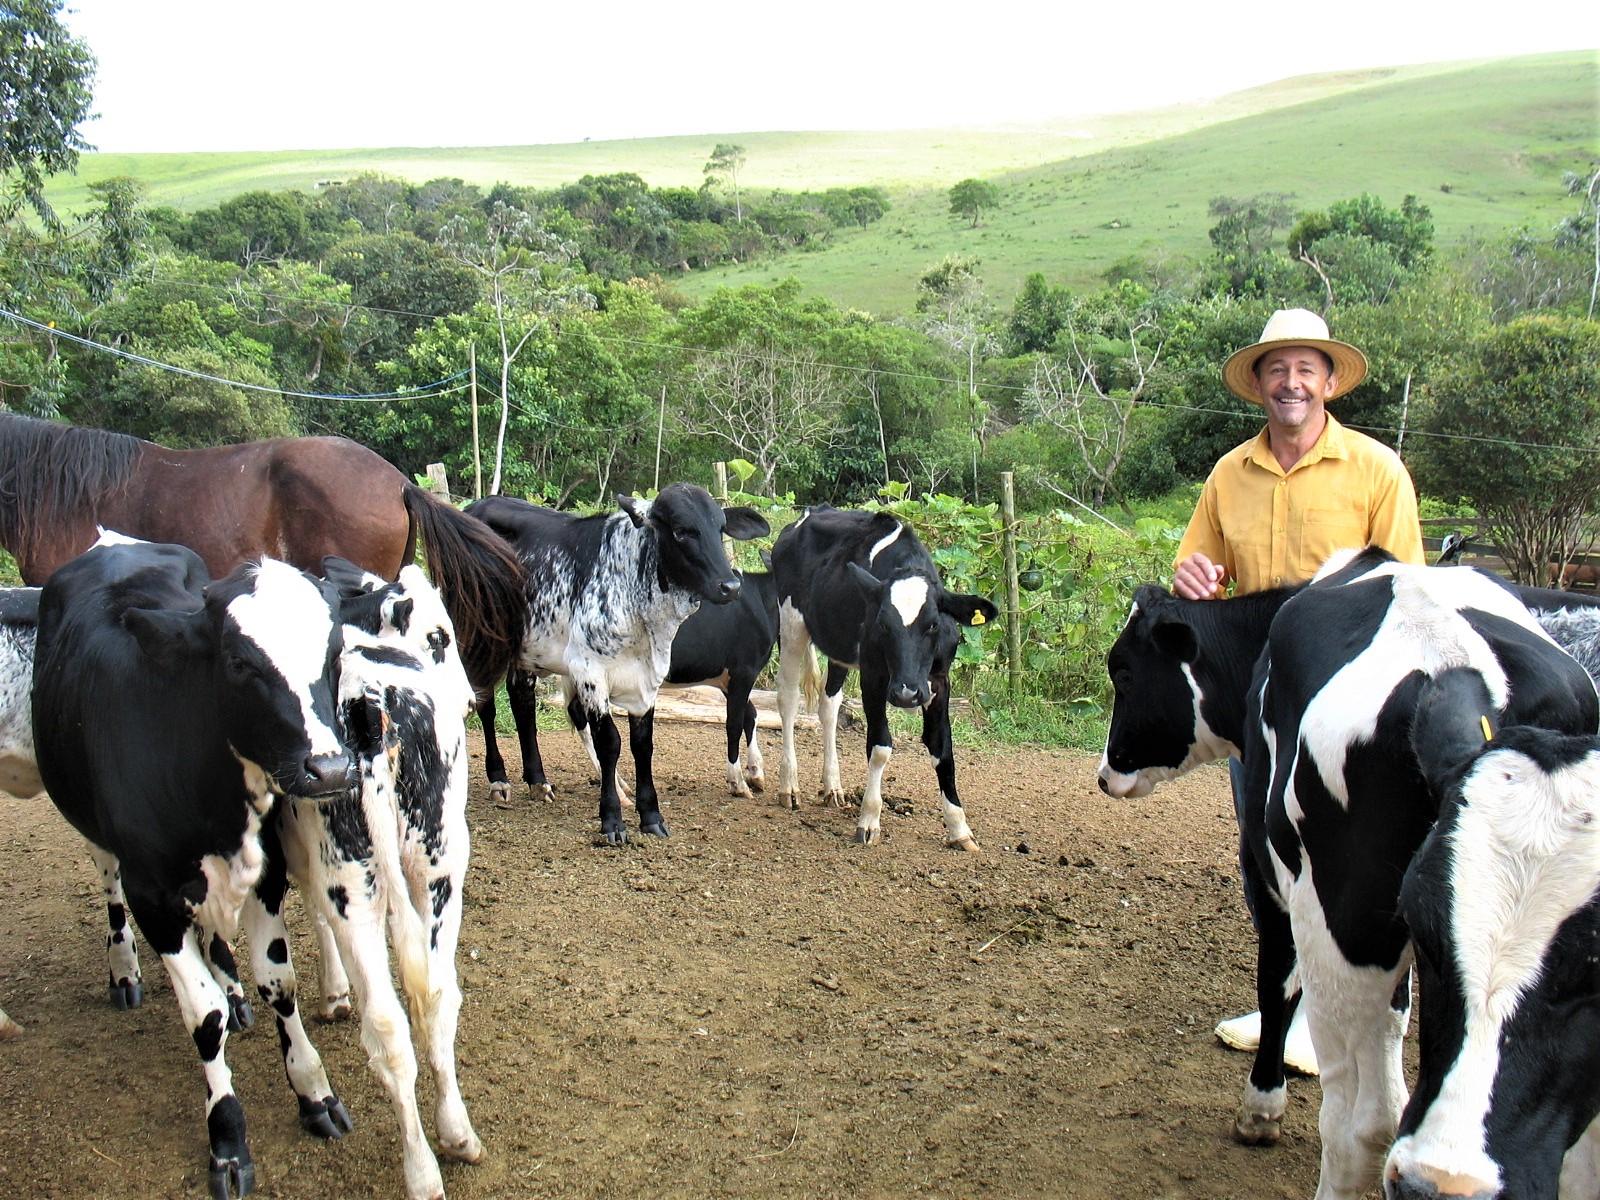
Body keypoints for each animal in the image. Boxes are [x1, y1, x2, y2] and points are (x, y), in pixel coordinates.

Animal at [30, 544, 356, 1200]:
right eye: (237, 662)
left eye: (334, 652)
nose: (331, 769)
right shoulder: (152, 896)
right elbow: (202, 1019)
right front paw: (227, 1140)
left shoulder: (265, 871)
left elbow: (278, 983)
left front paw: (313, 1091)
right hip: (98, 838)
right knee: (109, 889)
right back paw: (124, 970)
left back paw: (229, 984)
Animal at [464, 486, 768, 844]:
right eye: (682, 530)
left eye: (720, 528)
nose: (730, 586)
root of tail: (478, 504)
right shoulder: (589, 672)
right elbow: (609, 742)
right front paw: (612, 820)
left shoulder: (648, 680)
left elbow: (643, 745)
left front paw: (651, 817)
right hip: (478, 639)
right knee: (486, 705)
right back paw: (498, 779)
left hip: (526, 649)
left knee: (522, 702)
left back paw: (538, 782)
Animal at [768, 508, 992, 857]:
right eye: (883, 624)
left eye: (933, 624)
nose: (906, 693)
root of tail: (810, 513)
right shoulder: (874, 676)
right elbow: (880, 745)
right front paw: (869, 819)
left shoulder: (939, 681)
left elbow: (942, 748)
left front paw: (959, 827)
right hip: (790, 621)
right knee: (788, 698)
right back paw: (789, 786)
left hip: (838, 644)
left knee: (828, 704)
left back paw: (833, 786)